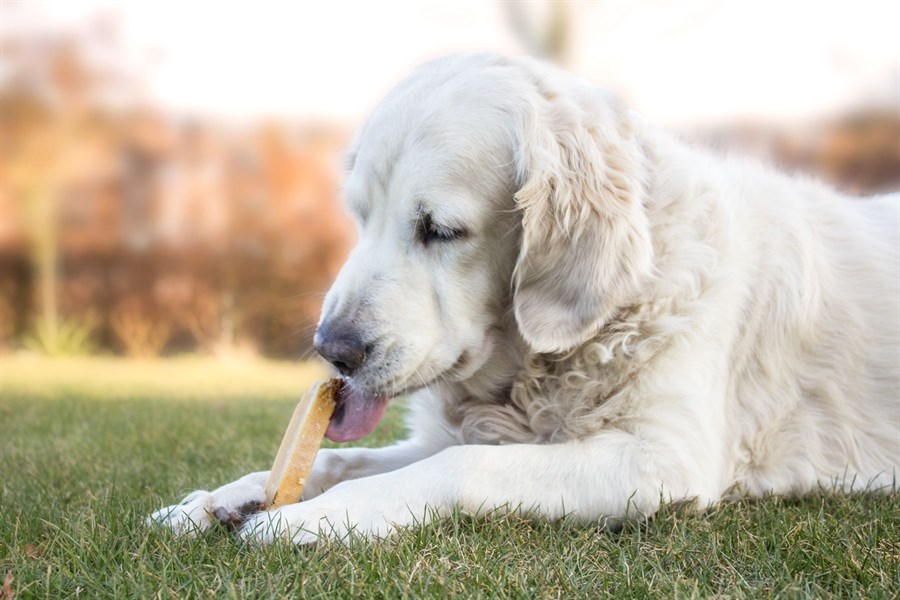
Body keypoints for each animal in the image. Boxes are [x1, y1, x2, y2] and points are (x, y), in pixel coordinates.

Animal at [151, 54, 896, 548]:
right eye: (360, 216)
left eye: (439, 229)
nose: (331, 350)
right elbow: (340, 457)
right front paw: (224, 499)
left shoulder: (665, 456)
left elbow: (466, 463)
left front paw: (317, 516)